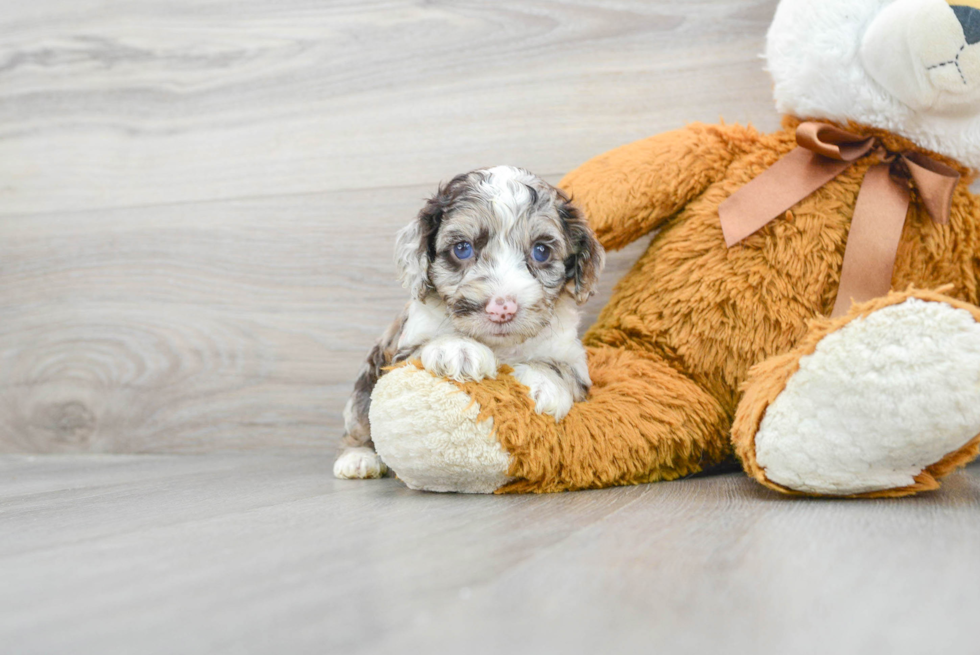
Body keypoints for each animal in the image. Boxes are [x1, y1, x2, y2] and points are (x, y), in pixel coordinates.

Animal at [334, 167, 600, 480]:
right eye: (462, 249)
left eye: (541, 251)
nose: (502, 308)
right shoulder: (401, 353)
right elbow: (433, 343)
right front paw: (457, 349)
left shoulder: (572, 356)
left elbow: (560, 367)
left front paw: (544, 383)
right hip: (364, 387)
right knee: (358, 424)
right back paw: (357, 459)